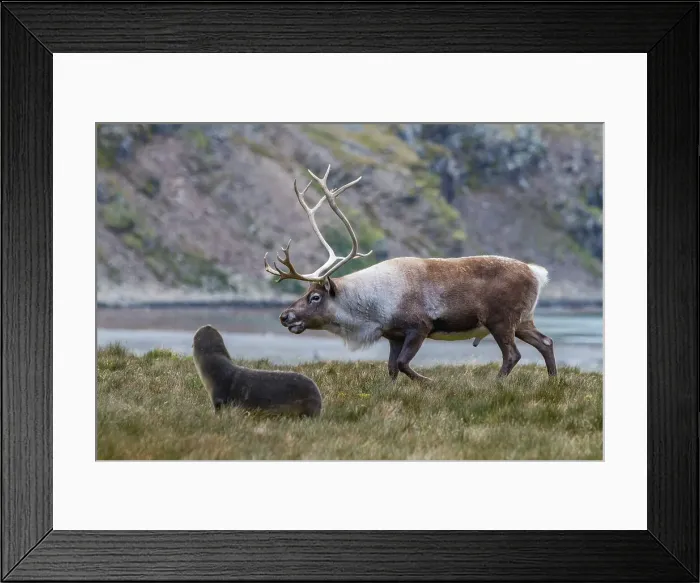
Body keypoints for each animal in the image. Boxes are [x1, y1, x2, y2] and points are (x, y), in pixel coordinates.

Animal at [264, 165, 557, 383]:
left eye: (315, 297)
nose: (284, 316)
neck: (372, 309)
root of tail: (537, 273)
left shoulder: (419, 327)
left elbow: (404, 364)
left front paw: (431, 382)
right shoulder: (393, 335)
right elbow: (392, 368)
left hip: (501, 320)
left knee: (513, 355)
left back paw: (495, 384)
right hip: (523, 320)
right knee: (546, 341)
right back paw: (552, 380)